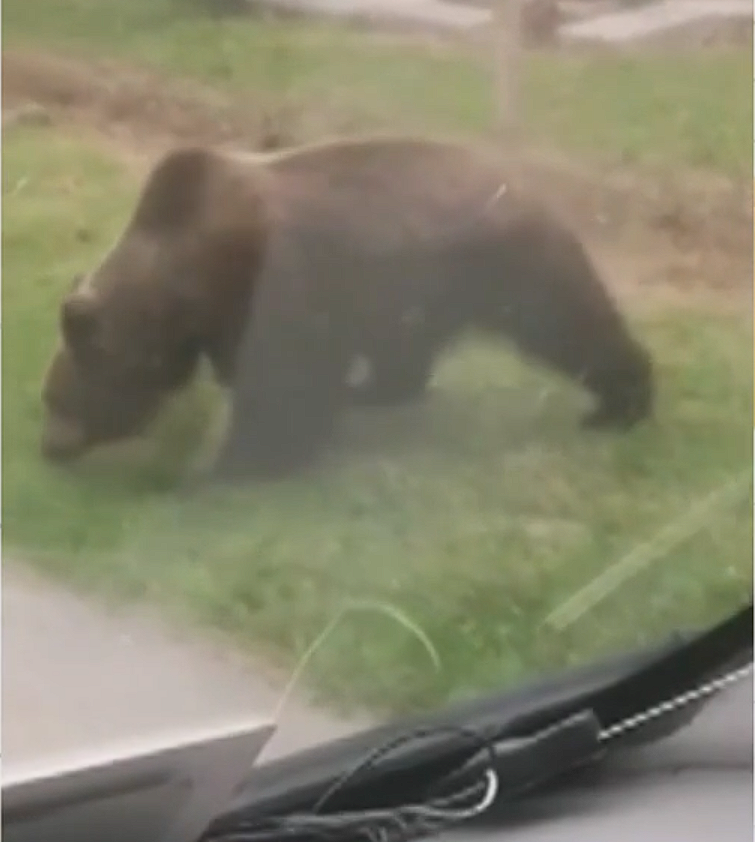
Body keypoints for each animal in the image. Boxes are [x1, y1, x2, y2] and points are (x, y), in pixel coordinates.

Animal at [39, 135, 656, 482]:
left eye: (56, 397)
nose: (49, 447)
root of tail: (520, 178)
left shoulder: (276, 294)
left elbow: (284, 393)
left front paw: (235, 464)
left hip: (508, 264)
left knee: (569, 324)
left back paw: (620, 405)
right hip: (411, 288)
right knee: (403, 355)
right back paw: (372, 391)